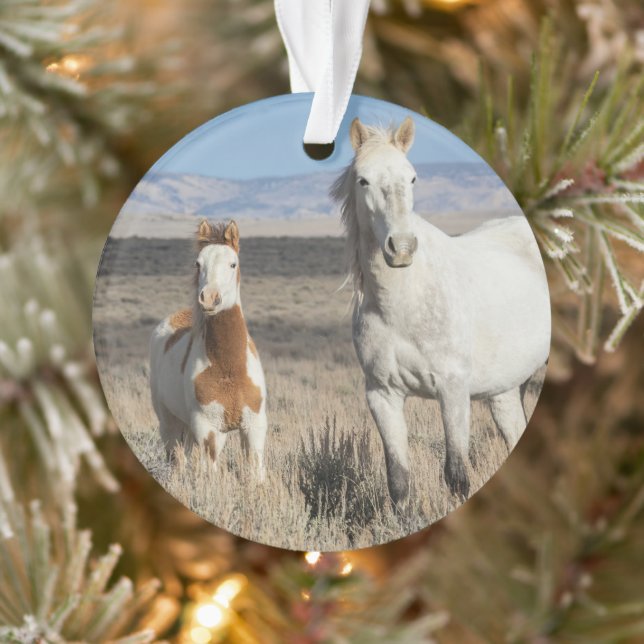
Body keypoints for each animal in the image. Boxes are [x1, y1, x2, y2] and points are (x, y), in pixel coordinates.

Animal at [149, 219, 267, 480]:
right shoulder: (208, 430)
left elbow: (255, 473)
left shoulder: (254, 427)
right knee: (177, 461)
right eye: (198, 263)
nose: (210, 298)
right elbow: (210, 474)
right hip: (170, 425)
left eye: (233, 263)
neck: (229, 369)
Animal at [331, 117, 550, 505]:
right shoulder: (382, 395)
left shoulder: (453, 391)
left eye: (412, 177)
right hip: (507, 390)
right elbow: (399, 482)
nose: (402, 248)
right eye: (363, 180)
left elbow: (456, 475)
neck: (402, 305)